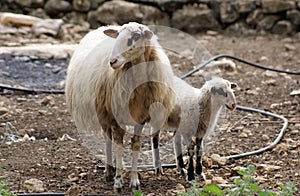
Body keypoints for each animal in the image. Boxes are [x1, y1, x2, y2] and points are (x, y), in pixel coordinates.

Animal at [65, 21, 176, 191]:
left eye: (136, 36)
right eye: (117, 36)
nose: (113, 62)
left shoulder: (141, 117)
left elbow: (135, 145)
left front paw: (134, 181)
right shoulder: (116, 116)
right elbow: (118, 145)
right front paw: (118, 181)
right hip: (103, 113)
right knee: (108, 140)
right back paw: (109, 171)